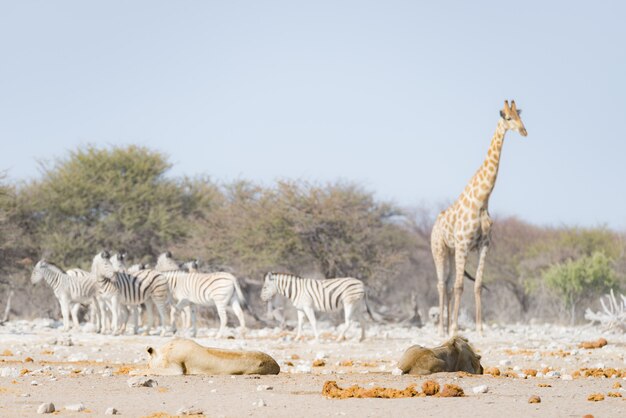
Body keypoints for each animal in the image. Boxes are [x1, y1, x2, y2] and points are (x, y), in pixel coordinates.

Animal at [426, 100, 524, 336]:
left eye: (520, 116)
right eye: (508, 118)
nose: (524, 131)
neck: (482, 200)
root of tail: (434, 226)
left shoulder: (484, 245)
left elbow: (477, 284)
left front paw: (479, 328)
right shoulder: (463, 244)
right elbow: (460, 285)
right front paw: (454, 328)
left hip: (451, 252)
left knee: (448, 284)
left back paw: (448, 326)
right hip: (439, 250)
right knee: (442, 284)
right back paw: (442, 329)